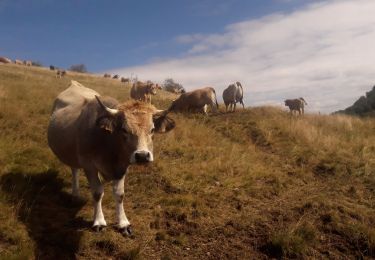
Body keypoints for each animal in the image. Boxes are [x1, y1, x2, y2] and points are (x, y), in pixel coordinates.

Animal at [47, 80, 176, 234]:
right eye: (124, 129)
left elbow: (119, 194)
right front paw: (99, 221)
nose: (142, 156)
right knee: (74, 170)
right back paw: (76, 193)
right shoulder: (89, 165)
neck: (109, 143)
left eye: (152, 130)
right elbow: (97, 192)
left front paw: (123, 223)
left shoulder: (122, 167)